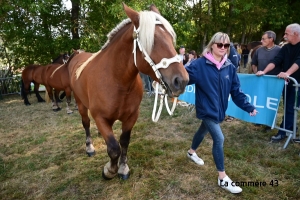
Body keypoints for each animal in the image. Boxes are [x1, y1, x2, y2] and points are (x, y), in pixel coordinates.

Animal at [68, 3, 189, 180]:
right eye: (151, 41)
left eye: (170, 38)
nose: (181, 81)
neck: (117, 82)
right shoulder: (100, 117)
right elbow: (113, 148)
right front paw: (109, 170)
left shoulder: (132, 116)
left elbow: (124, 142)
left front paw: (123, 168)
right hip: (80, 103)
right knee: (86, 123)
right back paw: (89, 147)